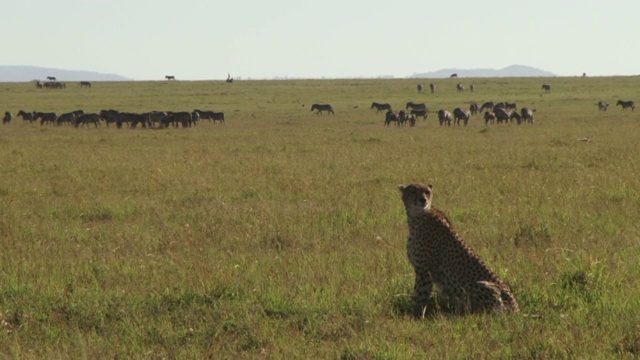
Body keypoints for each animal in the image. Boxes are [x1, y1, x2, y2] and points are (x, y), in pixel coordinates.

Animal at [400, 183, 520, 318]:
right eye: (413, 191)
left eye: (427, 192)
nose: (423, 200)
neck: (417, 217)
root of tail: (517, 309)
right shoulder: (421, 270)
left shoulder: (425, 271)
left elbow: (420, 295)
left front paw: (415, 316)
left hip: (481, 285)